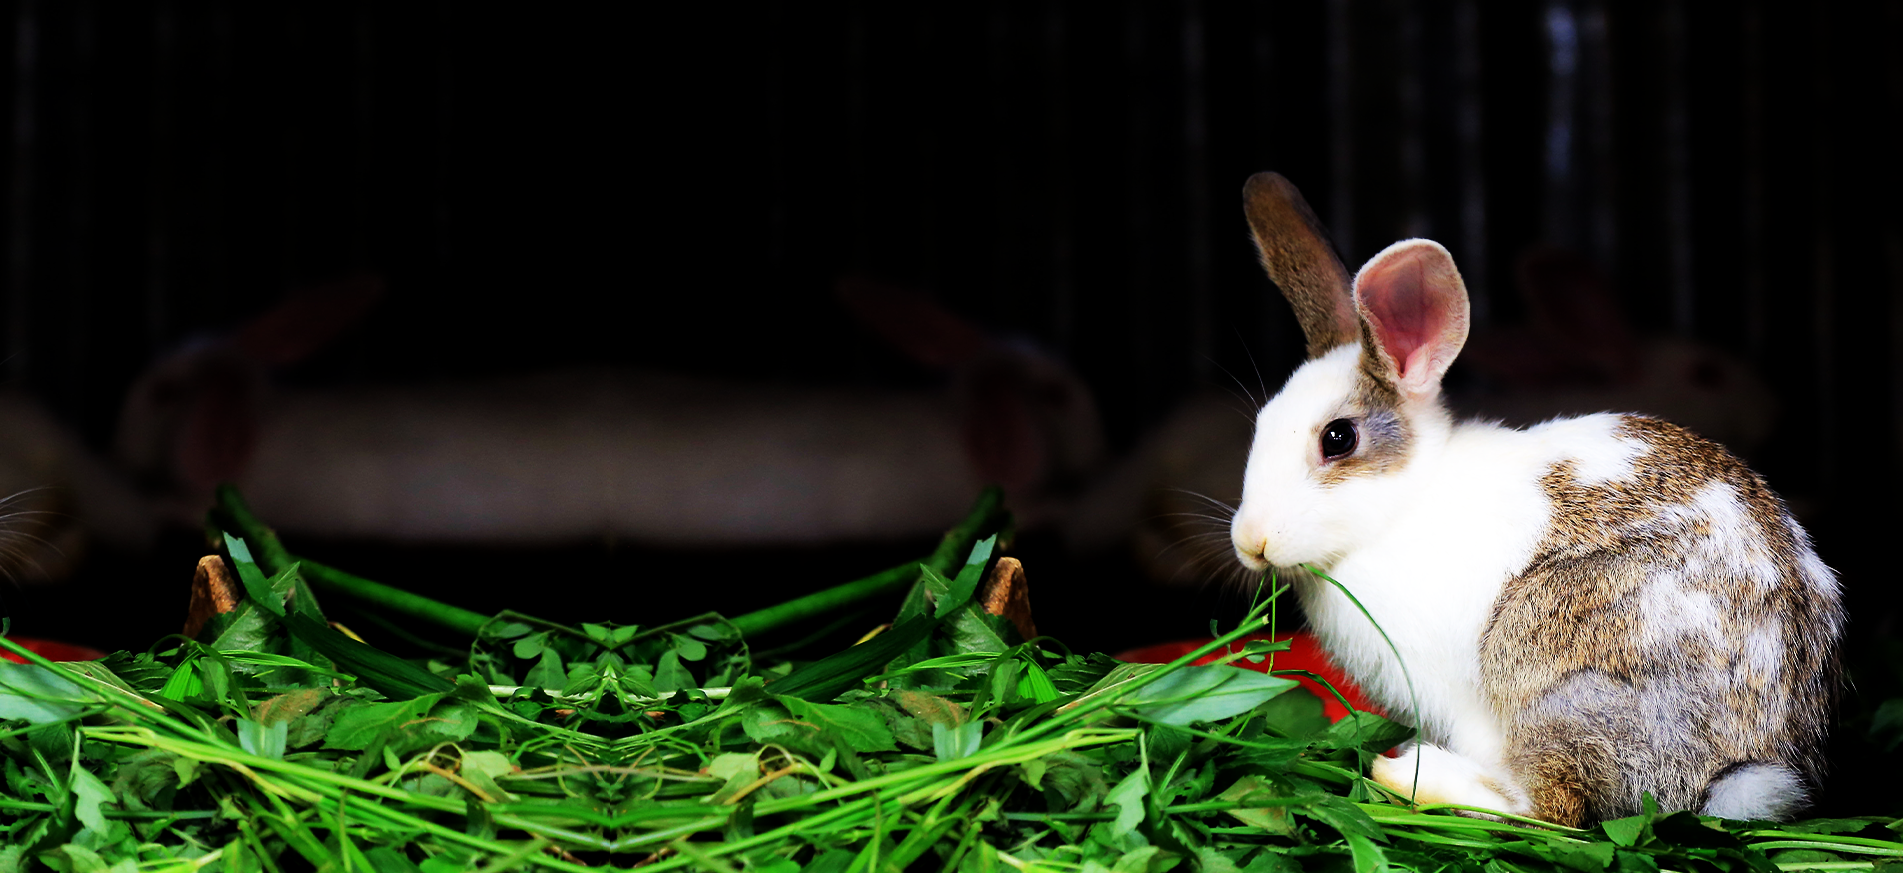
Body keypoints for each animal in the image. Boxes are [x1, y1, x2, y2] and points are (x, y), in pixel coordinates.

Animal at [1227, 172, 1842, 826]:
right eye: (1261, 424)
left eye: (1337, 438)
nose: (1251, 541)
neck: (1402, 504)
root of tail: (1750, 767)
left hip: (1543, 666)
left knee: (1549, 806)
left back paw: (1409, 774)